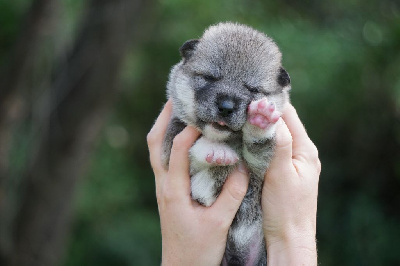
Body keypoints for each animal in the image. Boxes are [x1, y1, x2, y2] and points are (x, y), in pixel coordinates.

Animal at [162, 21, 290, 264]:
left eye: (252, 89)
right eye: (210, 78)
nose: (226, 107)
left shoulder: (262, 168)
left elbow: (259, 147)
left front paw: (260, 121)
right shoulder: (170, 149)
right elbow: (189, 140)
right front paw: (217, 151)